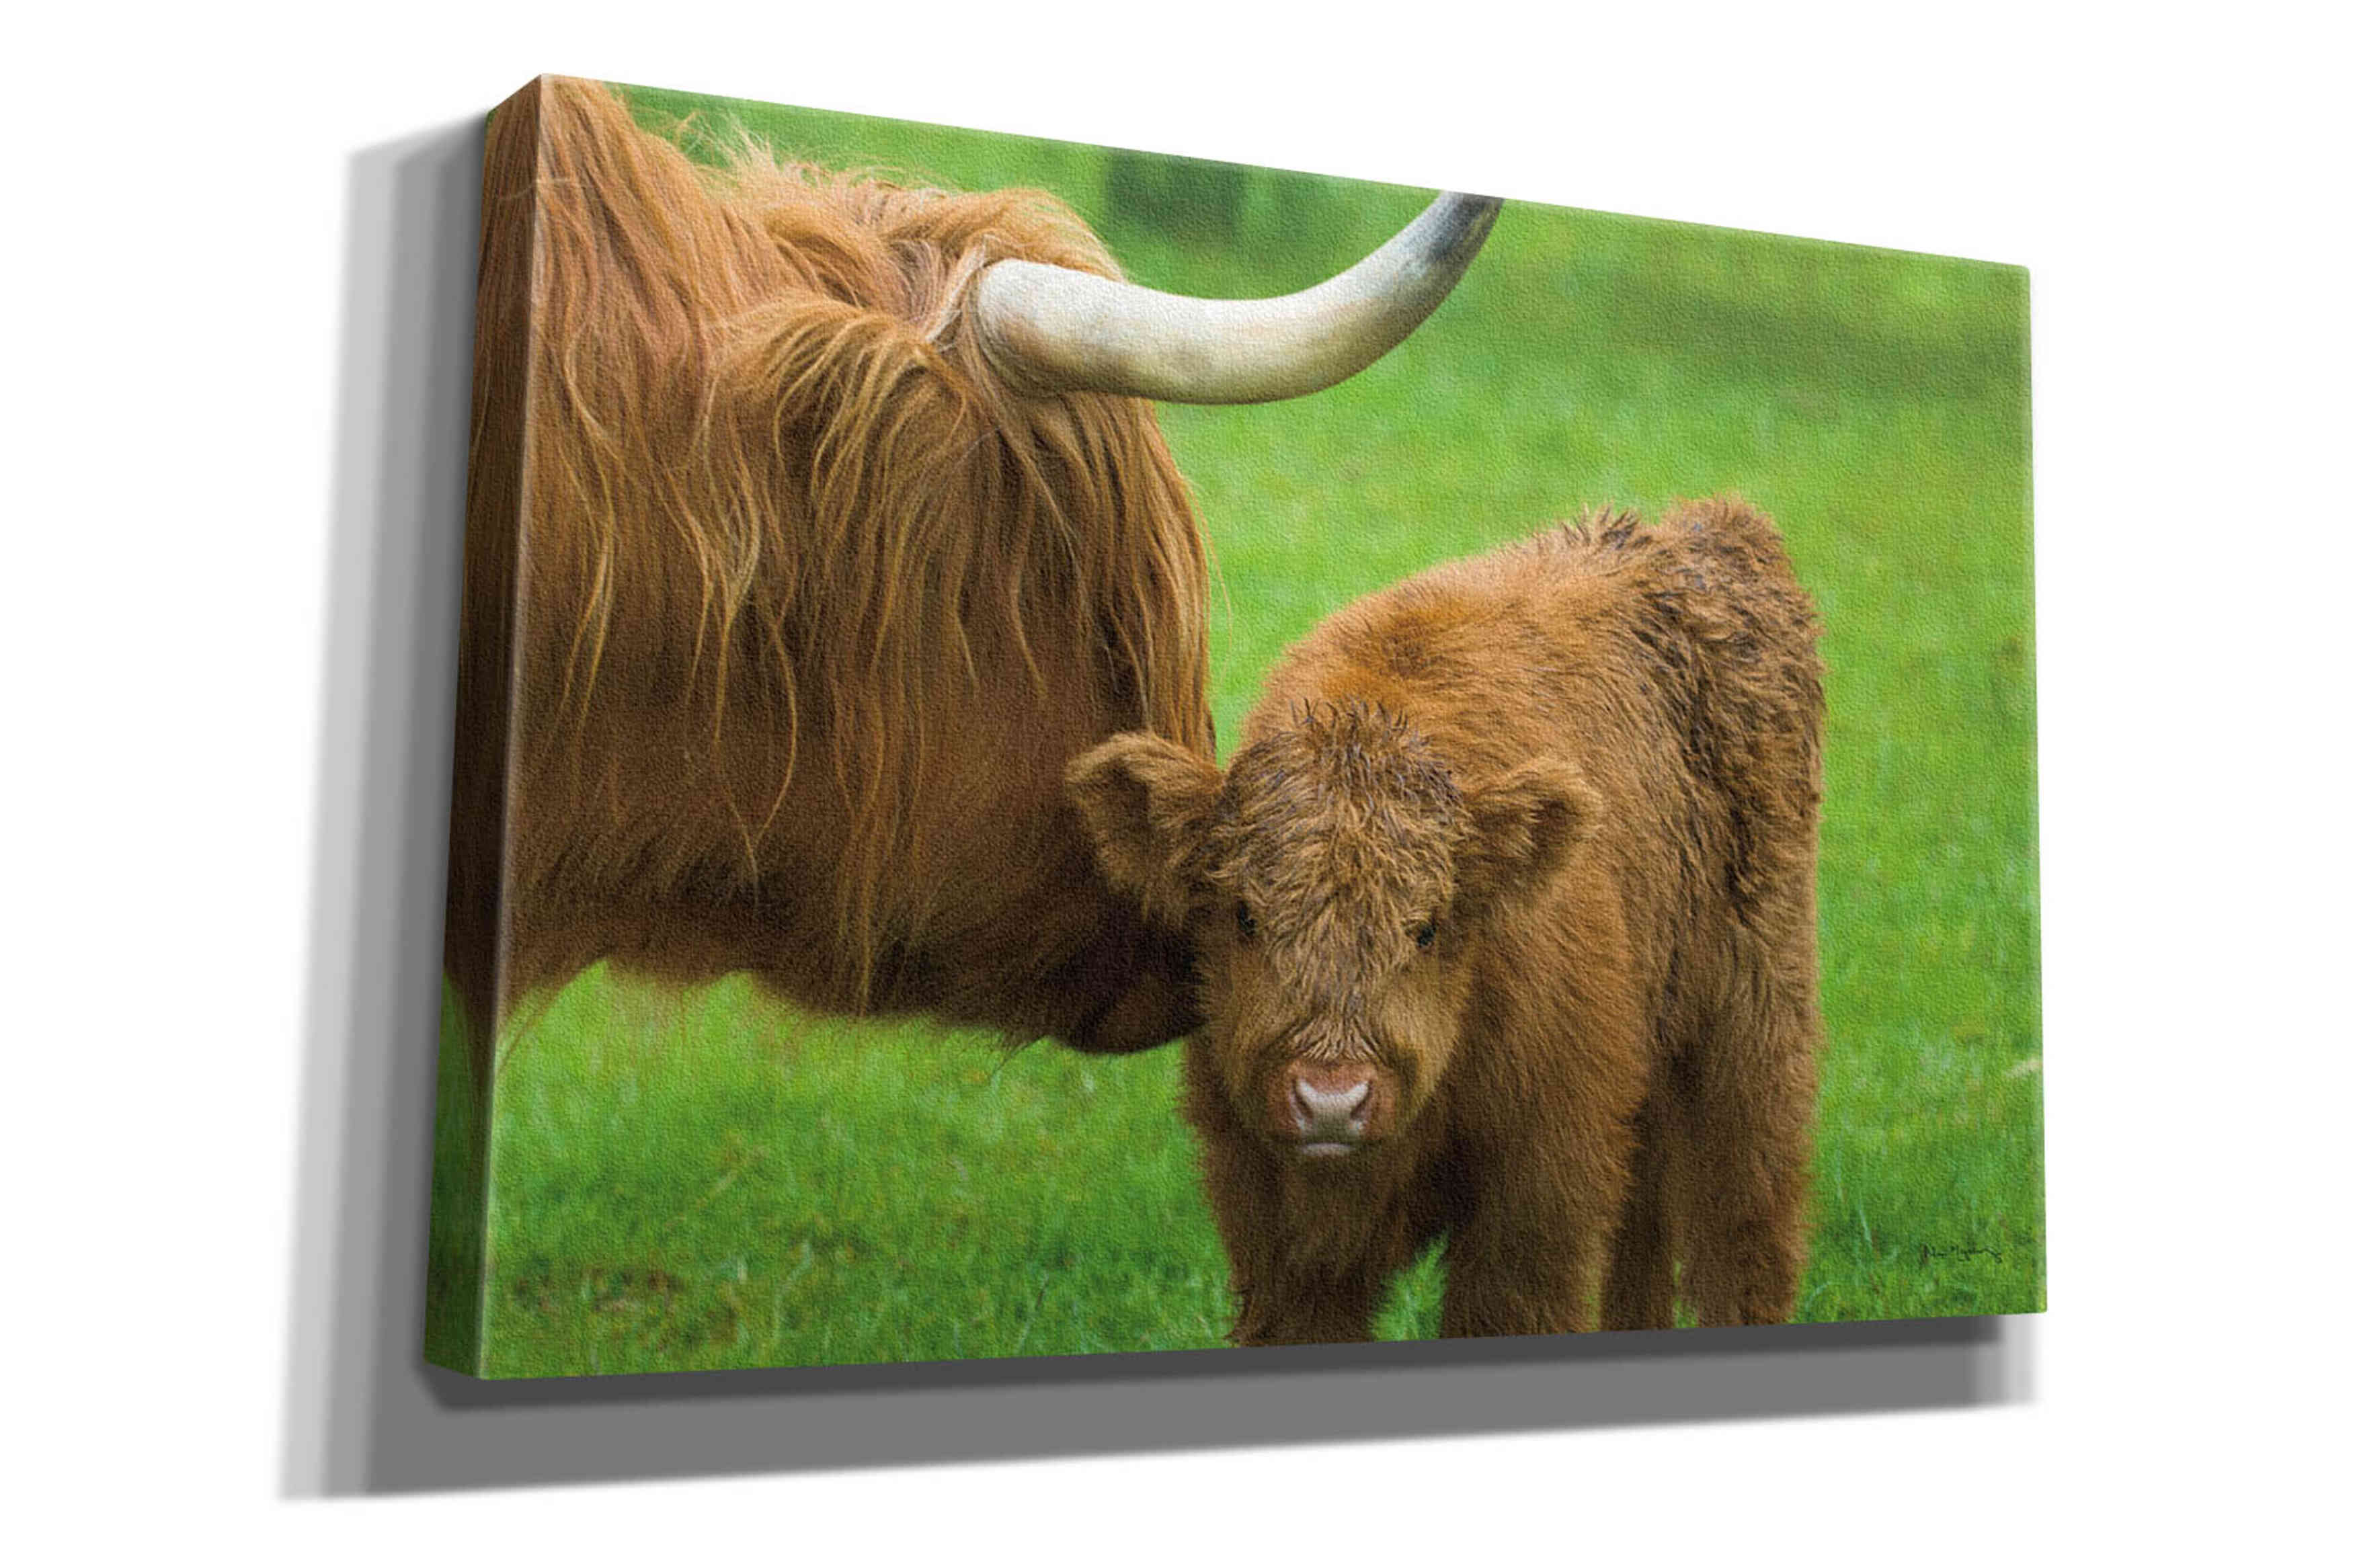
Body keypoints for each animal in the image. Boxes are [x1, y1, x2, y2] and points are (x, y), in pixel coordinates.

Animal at [1067, 500, 1825, 1341]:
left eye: (1427, 926)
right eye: (1244, 916)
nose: (1330, 1097)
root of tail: (1704, 531)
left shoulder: (1537, 1195)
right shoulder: (1270, 1226)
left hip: (1751, 1032)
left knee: (1745, 1225)